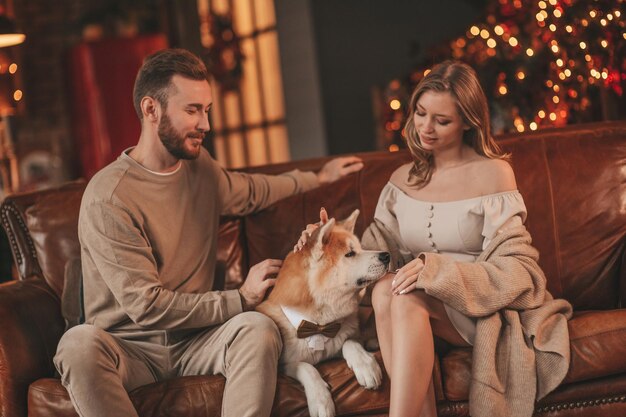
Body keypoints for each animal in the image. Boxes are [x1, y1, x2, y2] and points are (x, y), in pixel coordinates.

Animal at [256, 208, 388, 416]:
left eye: (361, 248)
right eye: (350, 254)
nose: (387, 255)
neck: (319, 323)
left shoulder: (348, 335)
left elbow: (350, 342)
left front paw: (365, 365)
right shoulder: (284, 365)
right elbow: (307, 367)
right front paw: (320, 400)